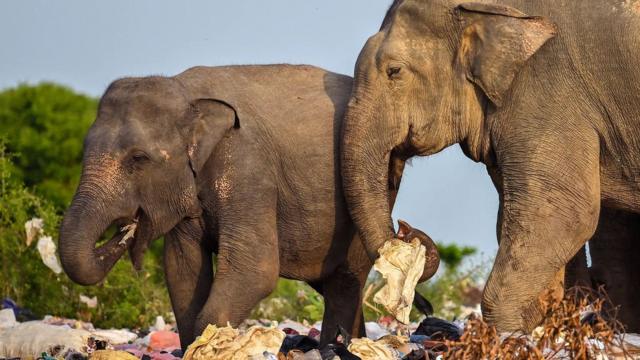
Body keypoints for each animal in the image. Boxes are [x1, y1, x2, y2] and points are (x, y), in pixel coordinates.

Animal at [58, 64, 440, 348]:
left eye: (138, 159)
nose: (124, 230)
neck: (186, 93)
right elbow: (182, 270)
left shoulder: (247, 168)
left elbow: (255, 269)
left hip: (374, 186)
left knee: (346, 279)